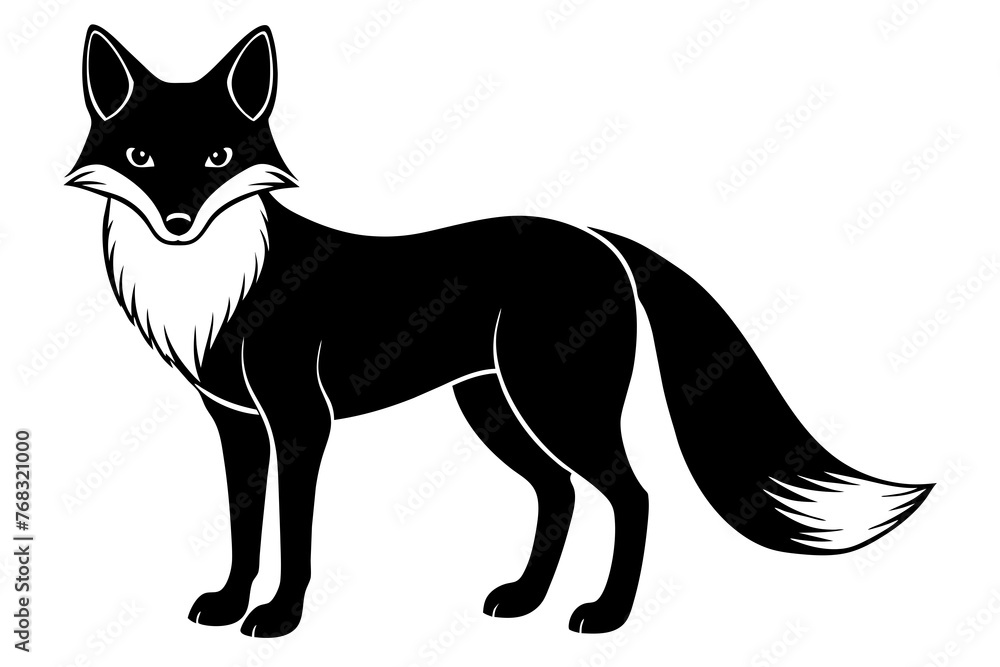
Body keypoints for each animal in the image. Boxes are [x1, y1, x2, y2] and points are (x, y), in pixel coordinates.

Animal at [66, 25, 933, 638]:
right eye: (141, 156)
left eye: (218, 156)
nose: (179, 223)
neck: (222, 285)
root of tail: (597, 237)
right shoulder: (236, 423)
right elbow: (244, 526)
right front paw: (225, 603)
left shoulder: (301, 421)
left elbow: (292, 533)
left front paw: (278, 619)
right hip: (494, 407)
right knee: (559, 492)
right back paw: (524, 600)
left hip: (556, 405)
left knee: (632, 494)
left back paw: (606, 615)